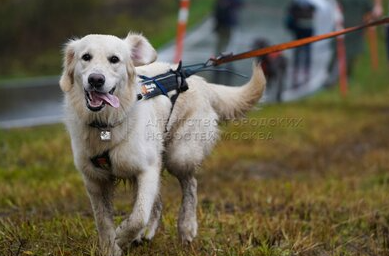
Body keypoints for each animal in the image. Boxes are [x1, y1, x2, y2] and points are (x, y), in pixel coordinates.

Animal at [59, 32, 266, 256]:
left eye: (114, 59)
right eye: (86, 57)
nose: (96, 80)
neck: (106, 123)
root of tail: (197, 79)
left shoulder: (147, 169)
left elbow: (138, 216)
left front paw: (122, 235)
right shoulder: (94, 180)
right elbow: (103, 221)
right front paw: (110, 249)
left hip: (179, 155)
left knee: (190, 185)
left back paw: (187, 227)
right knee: (157, 202)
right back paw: (147, 233)